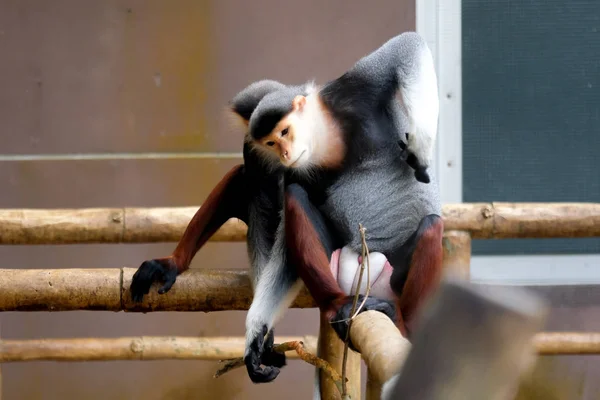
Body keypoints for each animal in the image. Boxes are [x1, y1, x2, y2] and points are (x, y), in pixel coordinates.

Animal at [130, 31, 440, 384]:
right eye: (272, 142)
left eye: (285, 132)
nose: (285, 153)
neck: (326, 144)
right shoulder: (291, 167)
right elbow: (283, 232)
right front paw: (257, 333)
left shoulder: (351, 94)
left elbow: (407, 46)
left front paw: (420, 147)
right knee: (288, 195)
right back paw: (333, 303)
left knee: (432, 226)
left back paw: (402, 321)